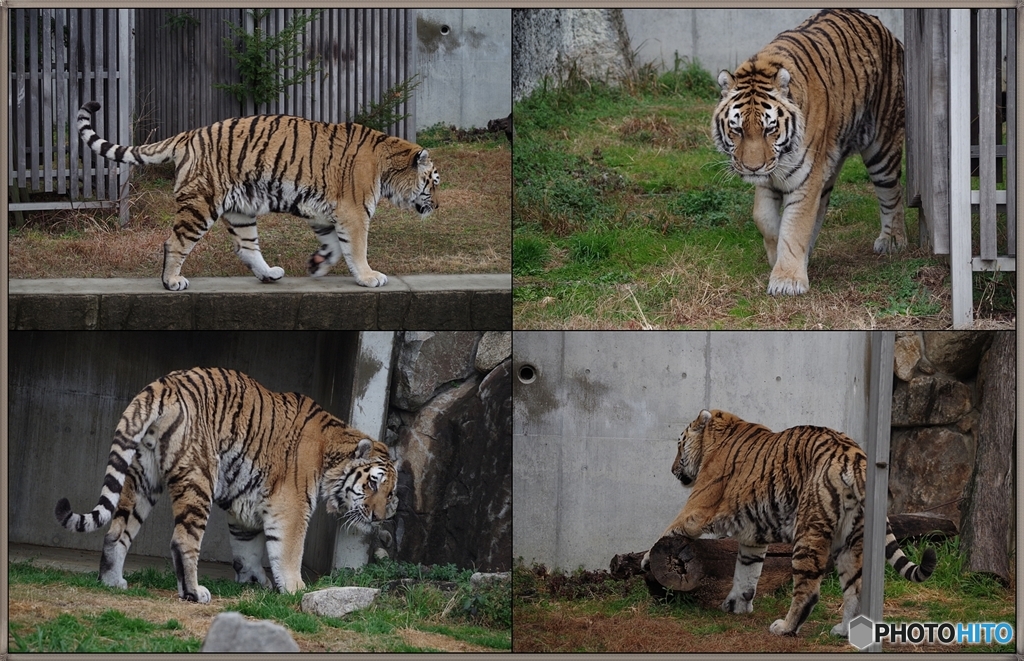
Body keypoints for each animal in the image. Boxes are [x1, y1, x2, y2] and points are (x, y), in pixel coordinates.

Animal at [54, 368, 399, 605]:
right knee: (182, 541)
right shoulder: (291, 506)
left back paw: (112, 581)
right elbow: (288, 551)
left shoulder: (247, 507)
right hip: (199, 478)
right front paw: (295, 590)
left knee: (116, 531)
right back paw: (194, 593)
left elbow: (248, 549)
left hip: (141, 478)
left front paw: (254, 581)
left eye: (391, 493)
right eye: (373, 482)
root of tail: (163, 385)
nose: (380, 517)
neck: (331, 453)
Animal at [74, 101, 436, 292]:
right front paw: (368, 276)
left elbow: (333, 245)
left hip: (241, 210)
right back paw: (172, 280)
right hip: (201, 205)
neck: (388, 166)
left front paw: (317, 265)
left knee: (246, 248)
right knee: (174, 242)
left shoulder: (325, 213)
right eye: (433, 182)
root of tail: (189, 134)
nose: (437, 204)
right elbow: (356, 249)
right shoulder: (354, 213)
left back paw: (269, 274)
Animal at [643, 411, 937, 638]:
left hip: (808, 530)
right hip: (851, 538)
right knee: (855, 587)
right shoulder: (753, 537)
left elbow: (667, 530)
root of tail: (855, 455)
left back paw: (785, 627)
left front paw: (645, 560)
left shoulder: (697, 509)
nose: (672, 470)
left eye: (679, 445)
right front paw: (737, 604)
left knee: (808, 590)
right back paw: (844, 631)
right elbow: (747, 571)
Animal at [712, 9, 905, 294]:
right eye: (737, 129)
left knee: (892, 192)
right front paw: (777, 256)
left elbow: (795, 226)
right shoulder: (771, 179)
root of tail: (882, 27)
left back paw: (892, 240)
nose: (752, 168)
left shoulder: (806, 178)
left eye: (769, 129)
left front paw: (787, 280)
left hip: (883, 146)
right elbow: (764, 218)